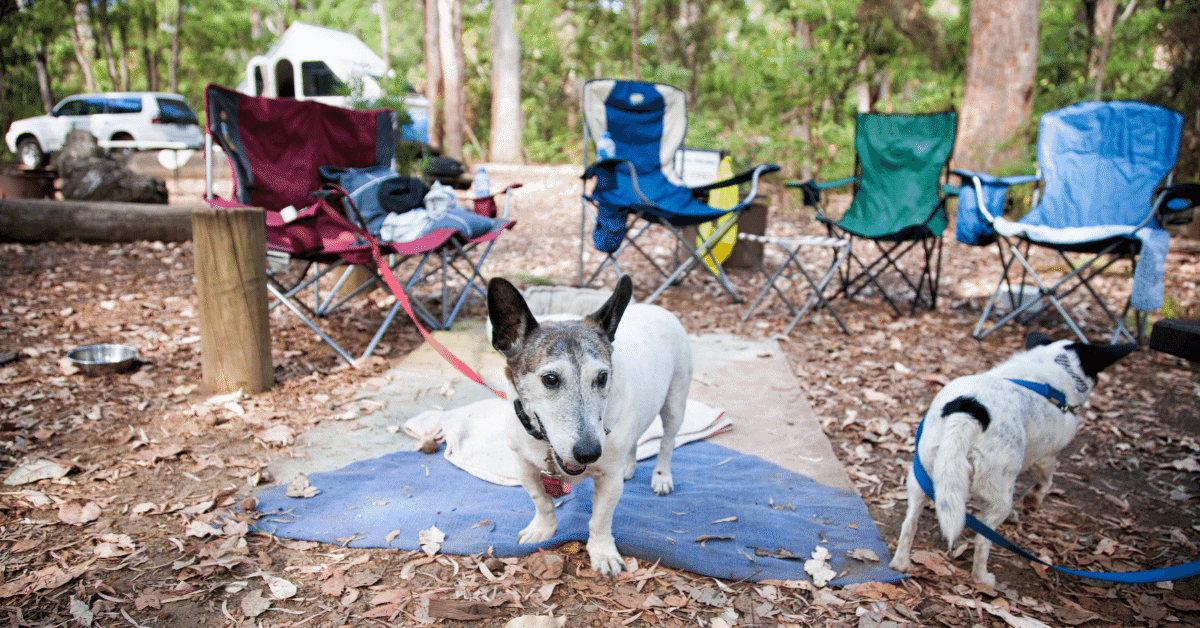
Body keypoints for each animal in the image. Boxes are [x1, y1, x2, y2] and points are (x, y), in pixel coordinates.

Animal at [487, 274, 696, 573]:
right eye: (550, 379)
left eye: (602, 377)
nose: (589, 452)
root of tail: (657, 308)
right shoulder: (524, 466)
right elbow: (541, 500)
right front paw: (543, 528)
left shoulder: (609, 480)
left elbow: (600, 519)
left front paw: (602, 552)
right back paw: (629, 467)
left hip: (675, 402)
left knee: (667, 441)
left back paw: (662, 477)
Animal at [892, 331, 1132, 588]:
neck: (1053, 368)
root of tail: (970, 411)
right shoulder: (1046, 457)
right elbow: (1046, 482)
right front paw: (1031, 503)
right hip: (1000, 493)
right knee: (983, 540)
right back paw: (983, 578)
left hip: (923, 473)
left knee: (910, 522)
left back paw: (901, 564)